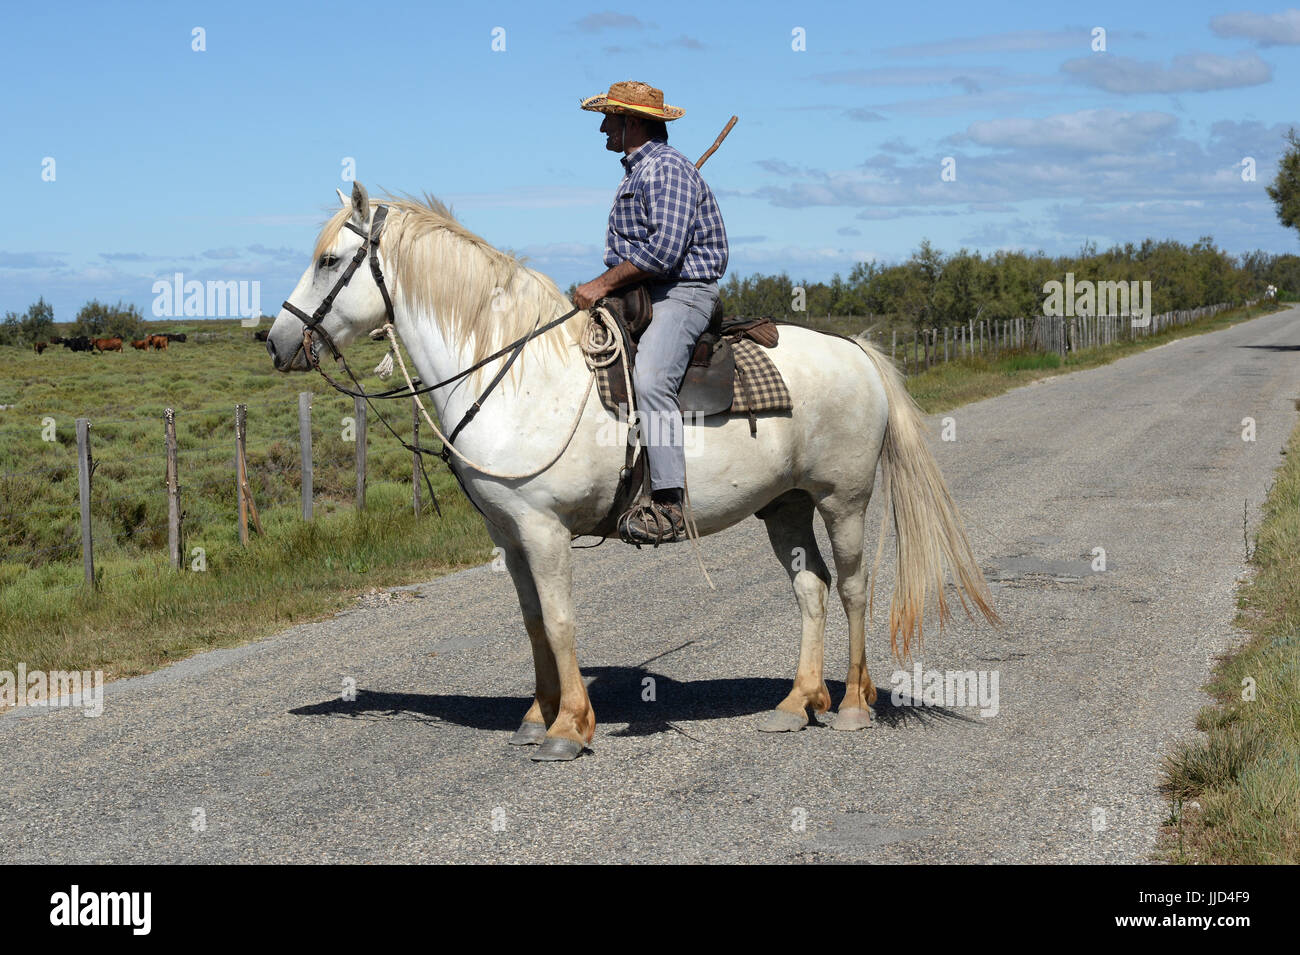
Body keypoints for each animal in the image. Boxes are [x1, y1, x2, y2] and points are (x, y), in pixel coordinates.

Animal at [263, 183, 993, 758]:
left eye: (329, 260)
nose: (276, 340)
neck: (514, 376)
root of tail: (856, 348)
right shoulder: (509, 534)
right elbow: (533, 622)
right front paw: (536, 717)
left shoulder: (545, 530)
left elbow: (560, 621)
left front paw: (569, 727)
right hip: (783, 505)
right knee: (810, 587)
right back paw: (797, 703)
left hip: (843, 498)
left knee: (854, 588)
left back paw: (853, 706)